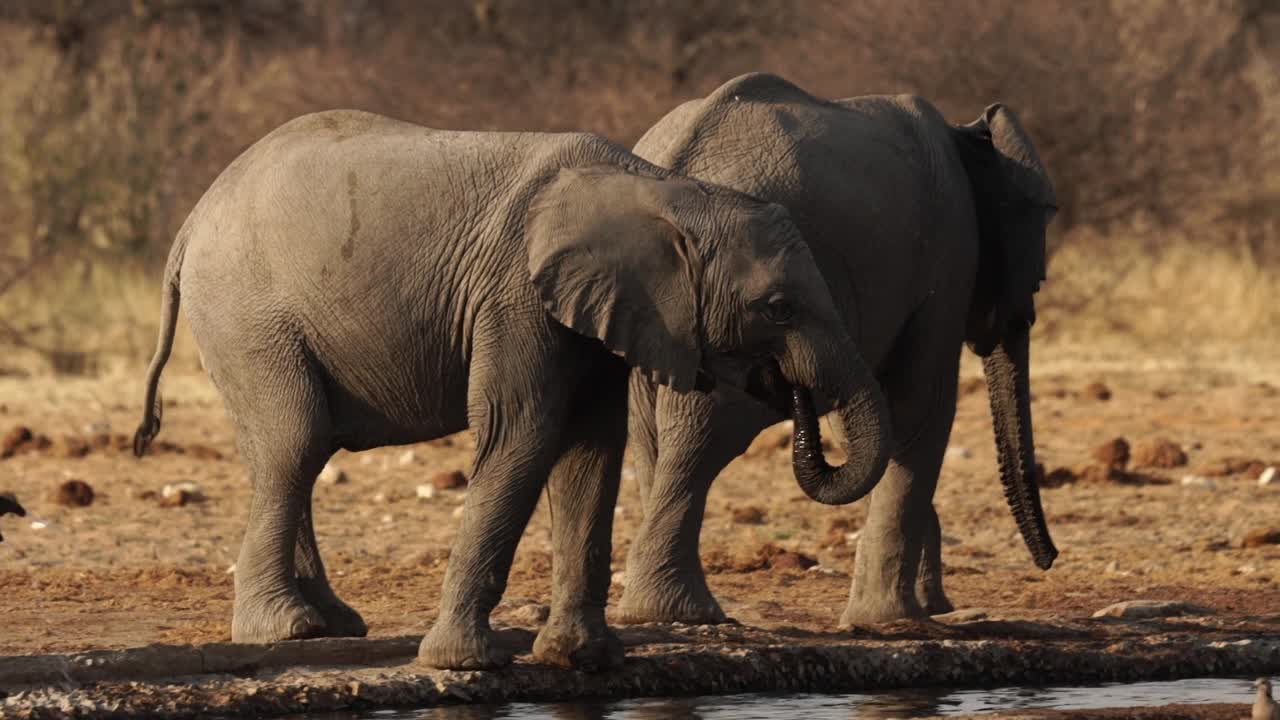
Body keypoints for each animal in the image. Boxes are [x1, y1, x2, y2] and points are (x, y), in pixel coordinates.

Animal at [129, 109, 890, 671]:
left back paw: (329, 624)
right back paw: (283, 632)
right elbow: (523, 437)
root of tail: (191, 223)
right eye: (779, 308)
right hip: (248, 316)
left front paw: (583, 660)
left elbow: (592, 451)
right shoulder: (516, 295)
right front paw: (466, 664)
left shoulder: (602, 311)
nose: (794, 396)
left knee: (290, 454)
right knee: (295, 442)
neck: (661, 190)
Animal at [619, 70, 1059, 625]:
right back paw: (679, 612)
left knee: (652, 435)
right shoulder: (950, 253)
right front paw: (892, 621)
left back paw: (668, 610)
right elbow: (921, 406)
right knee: (702, 436)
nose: (1051, 559)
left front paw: (927, 608)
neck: (967, 135)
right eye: (1042, 224)